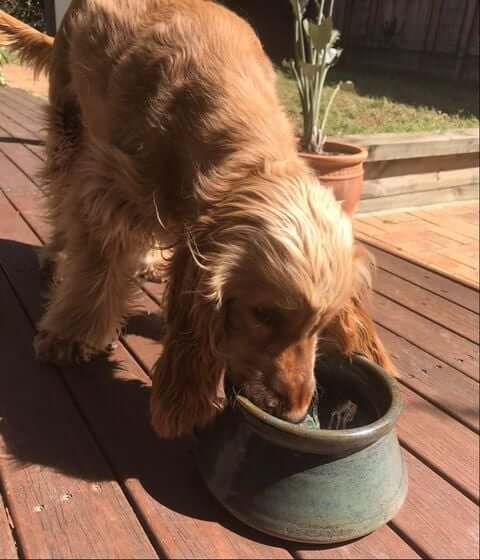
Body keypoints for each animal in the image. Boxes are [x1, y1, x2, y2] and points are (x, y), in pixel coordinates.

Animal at [0, 0, 394, 440]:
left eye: (320, 326)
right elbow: (97, 266)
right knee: (61, 195)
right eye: (264, 314)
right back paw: (56, 257)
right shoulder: (110, 187)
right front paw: (71, 334)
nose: (293, 413)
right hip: (71, 125)